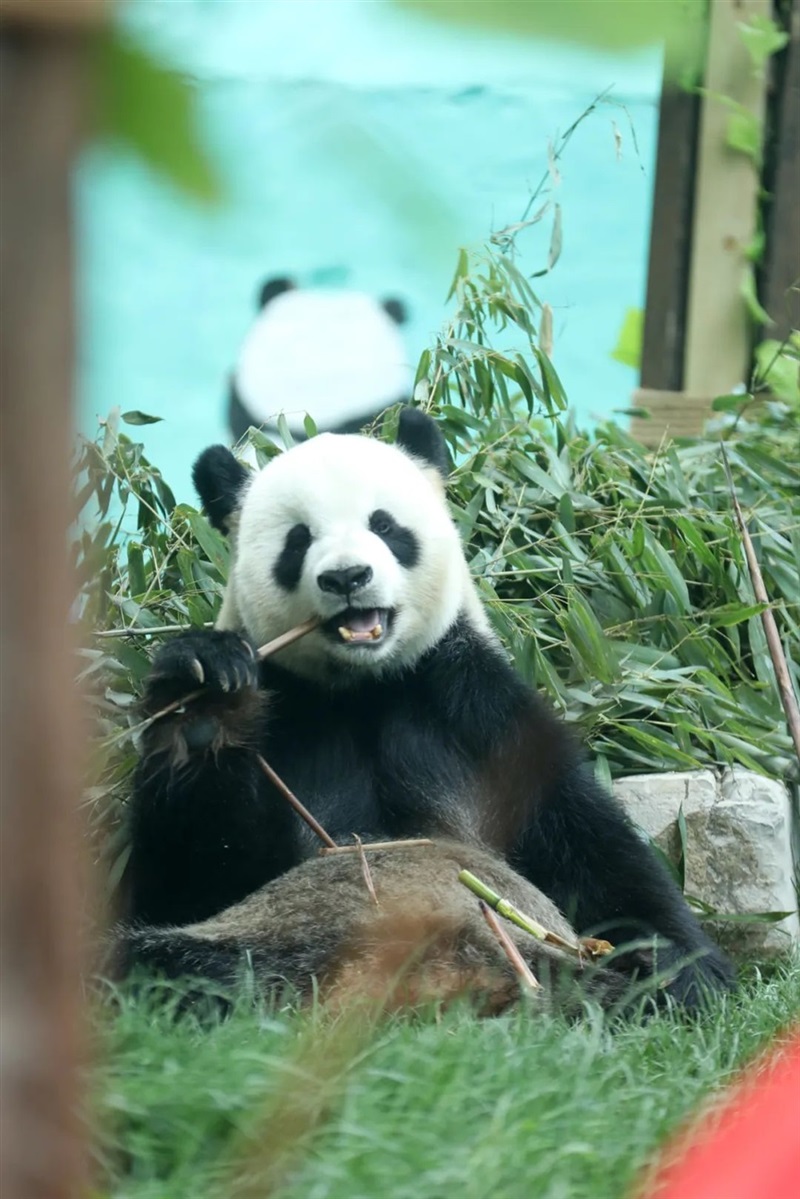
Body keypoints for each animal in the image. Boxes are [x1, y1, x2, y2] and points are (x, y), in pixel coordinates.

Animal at [128, 407, 734, 1007]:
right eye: (298, 540)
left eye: (384, 526)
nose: (347, 577)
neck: (367, 688)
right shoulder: (288, 715)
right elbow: (191, 876)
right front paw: (204, 701)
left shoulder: (474, 707)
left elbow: (590, 845)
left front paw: (690, 971)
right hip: (268, 942)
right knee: (167, 963)